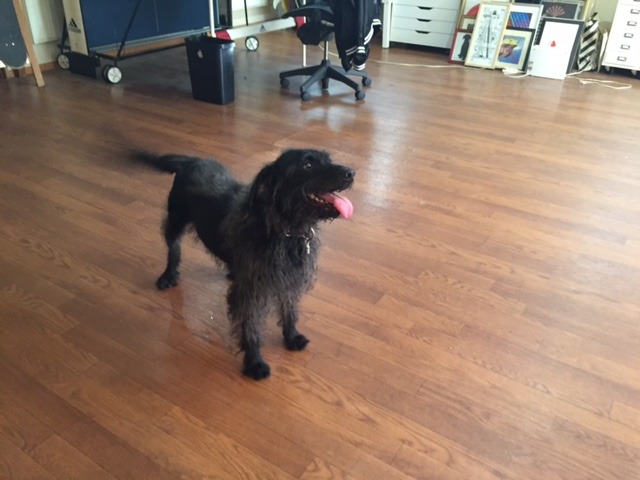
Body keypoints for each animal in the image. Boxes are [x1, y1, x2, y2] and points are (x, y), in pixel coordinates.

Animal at [131, 149, 355, 380]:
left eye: (328, 159)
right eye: (308, 165)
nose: (351, 173)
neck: (284, 231)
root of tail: (191, 160)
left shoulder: (290, 282)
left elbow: (290, 312)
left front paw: (292, 337)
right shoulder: (251, 293)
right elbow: (251, 327)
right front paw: (255, 362)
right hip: (175, 219)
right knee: (173, 249)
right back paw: (168, 275)